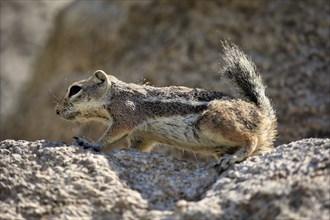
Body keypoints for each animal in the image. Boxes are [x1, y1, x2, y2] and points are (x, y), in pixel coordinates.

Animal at [56, 43, 276, 173]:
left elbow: (110, 135)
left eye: (74, 89)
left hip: (213, 121)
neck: (115, 94)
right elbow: (137, 148)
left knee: (250, 139)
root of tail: (263, 114)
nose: (57, 111)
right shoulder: (141, 136)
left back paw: (233, 159)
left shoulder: (126, 114)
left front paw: (90, 143)